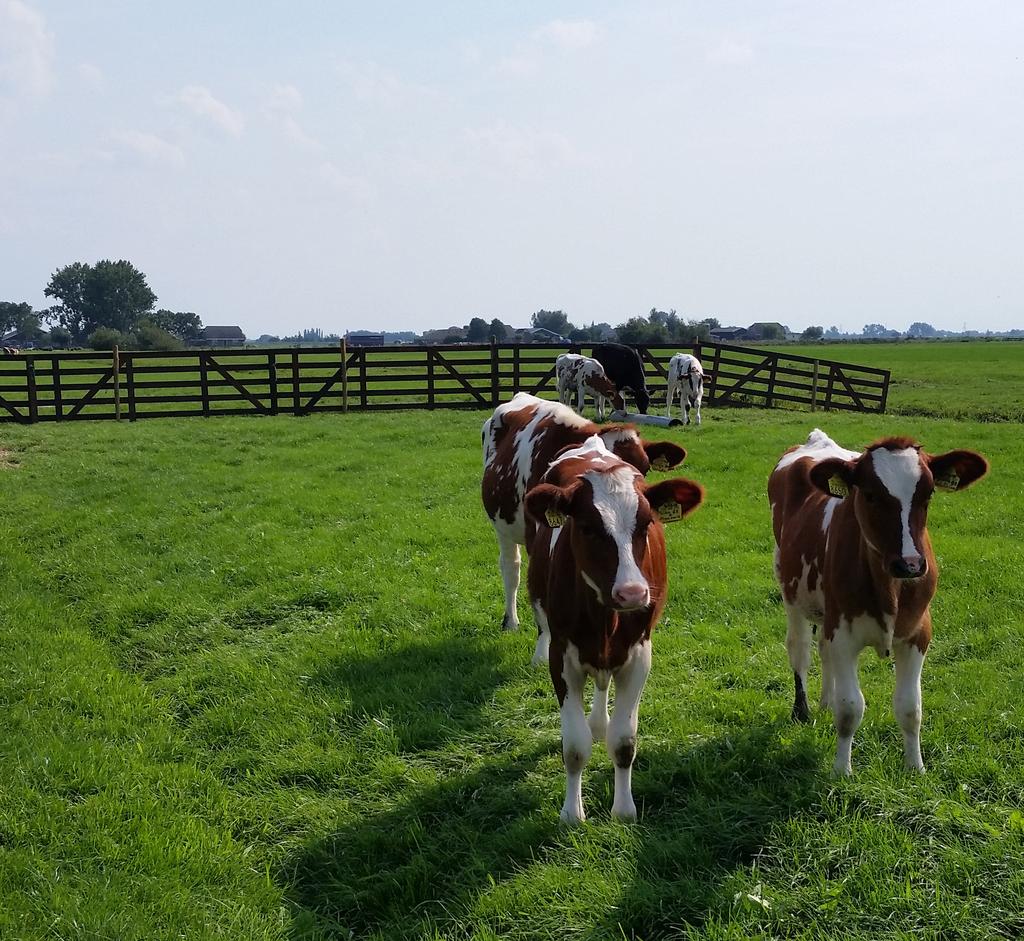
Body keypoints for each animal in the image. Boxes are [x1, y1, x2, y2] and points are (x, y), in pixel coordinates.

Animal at [524, 438, 708, 819]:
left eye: (646, 524)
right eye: (587, 527)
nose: (633, 593)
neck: (605, 620)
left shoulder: (639, 654)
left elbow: (624, 742)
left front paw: (623, 811)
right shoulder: (561, 655)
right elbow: (574, 745)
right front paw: (571, 813)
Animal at [770, 430, 987, 778]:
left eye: (928, 495)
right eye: (870, 495)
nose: (910, 564)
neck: (890, 589)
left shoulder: (918, 634)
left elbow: (910, 707)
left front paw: (915, 767)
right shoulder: (843, 634)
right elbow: (850, 709)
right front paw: (842, 771)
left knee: (821, 650)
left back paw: (825, 702)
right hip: (789, 589)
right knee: (799, 649)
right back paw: (802, 711)